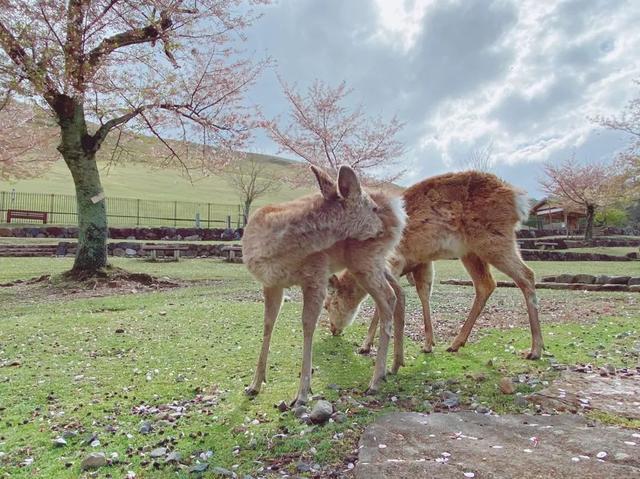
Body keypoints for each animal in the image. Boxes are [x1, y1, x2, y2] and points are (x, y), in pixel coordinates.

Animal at [242, 164, 408, 404]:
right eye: (373, 208)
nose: (382, 227)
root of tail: (400, 211)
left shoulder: (316, 274)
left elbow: (307, 325)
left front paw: (302, 394)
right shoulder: (271, 283)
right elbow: (268, 324)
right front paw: (254, 385)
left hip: (365, 260)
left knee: (388, 298)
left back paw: (375, 380)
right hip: (375, 261)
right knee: (399, 292)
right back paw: (395, 364)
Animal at [322, 171, 544, 362]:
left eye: (327, 305)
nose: (333, 329)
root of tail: (519, 199)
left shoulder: (393, 261)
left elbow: (384, 302)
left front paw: (365, 345)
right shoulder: (422, 262)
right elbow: (424, 294)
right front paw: (429, 344)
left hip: (494, 240)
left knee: (526, 275)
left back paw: (535, 349)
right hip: (471, 251)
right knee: (486, 284)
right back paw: (456, 343)